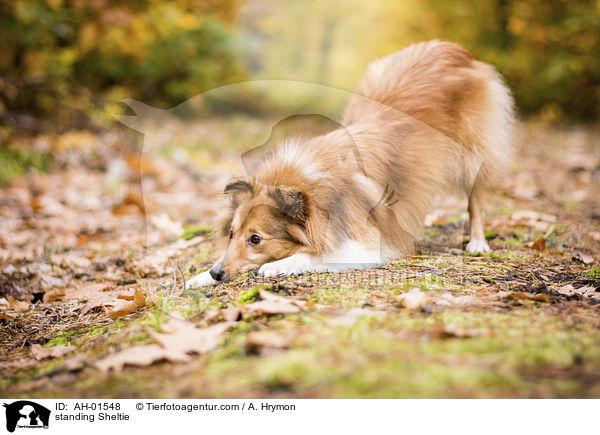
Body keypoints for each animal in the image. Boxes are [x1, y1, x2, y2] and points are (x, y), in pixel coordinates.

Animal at [189, 39, 516, 288]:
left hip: (473, 155)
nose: (217, 273)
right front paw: (200, 277)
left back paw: (477, 243)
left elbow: (318, 254)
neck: (310, 183)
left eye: (256, 239)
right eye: (232, 233)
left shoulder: (370, 245)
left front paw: (281, 263)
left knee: (476, 200)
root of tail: (452, 48)